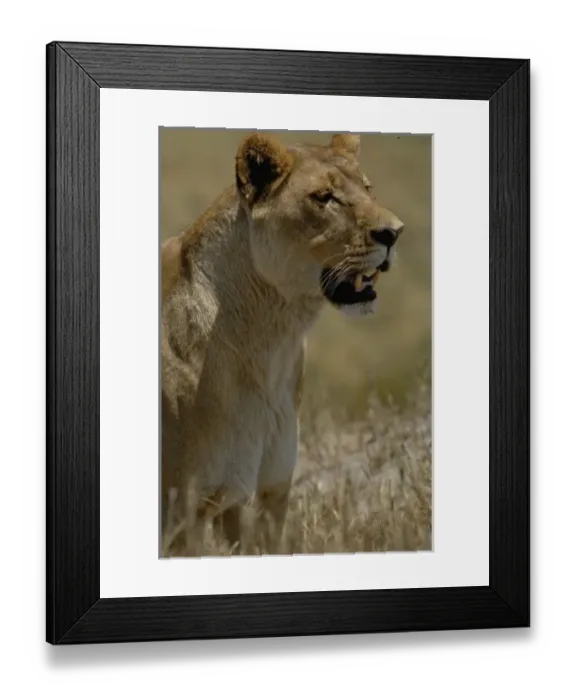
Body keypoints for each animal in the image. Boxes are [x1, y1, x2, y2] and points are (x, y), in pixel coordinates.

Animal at [161, 132, 404, 555]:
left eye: (368, 189)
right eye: (324, 197)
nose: (395, 232)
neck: (273, 341)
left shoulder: (267, 494)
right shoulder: (183, 512)